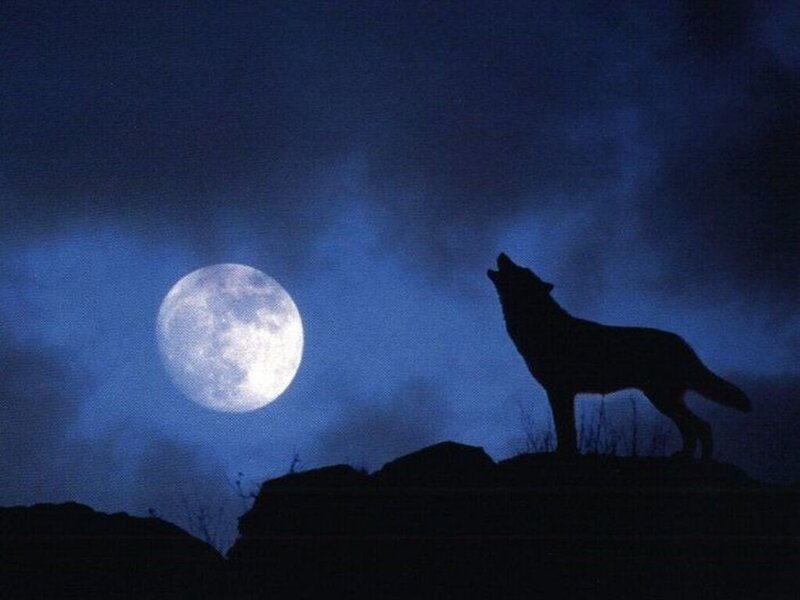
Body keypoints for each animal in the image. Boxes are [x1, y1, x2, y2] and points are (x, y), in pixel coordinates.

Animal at [488, 253, 751, 458]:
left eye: (519, 269)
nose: (502, 254)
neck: (539, 325)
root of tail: (682, 342)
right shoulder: (561, 392)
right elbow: (567, 429)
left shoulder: (560, 391)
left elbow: (566, 430)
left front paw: (564, 453)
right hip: (662, 398)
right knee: (694, 427)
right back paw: (685, 456)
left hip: (661, 398)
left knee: (701, 426)